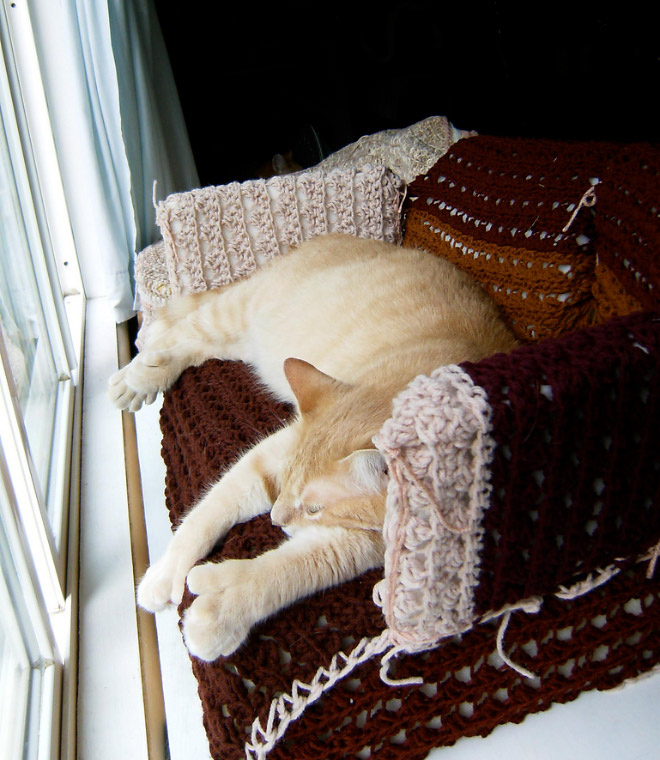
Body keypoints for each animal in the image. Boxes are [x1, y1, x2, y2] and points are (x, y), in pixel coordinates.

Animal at [109, 235, 520, 664]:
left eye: (313, 508)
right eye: (286, 483)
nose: (276, 520)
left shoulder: (369, 538)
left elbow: (295, 567)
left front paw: (226, 604)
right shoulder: (271, 455)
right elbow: (208, 513)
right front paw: (167, 572)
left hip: (243, 341)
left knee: (192, 345)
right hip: (236, 312)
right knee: (177, 334)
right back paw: (135, 379)